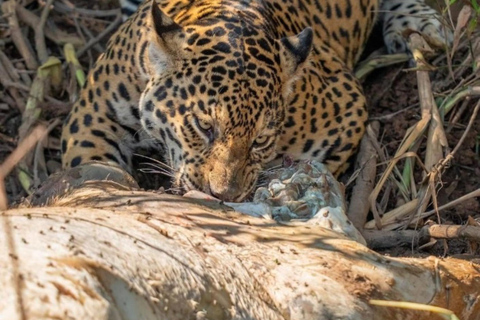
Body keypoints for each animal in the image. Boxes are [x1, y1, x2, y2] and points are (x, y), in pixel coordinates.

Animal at [61, 0, 450, 200]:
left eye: (260, 140)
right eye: (203, 126)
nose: (223, 195)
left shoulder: (347, 106)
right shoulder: (94, 114)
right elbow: (89, 168)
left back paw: (420, 25)